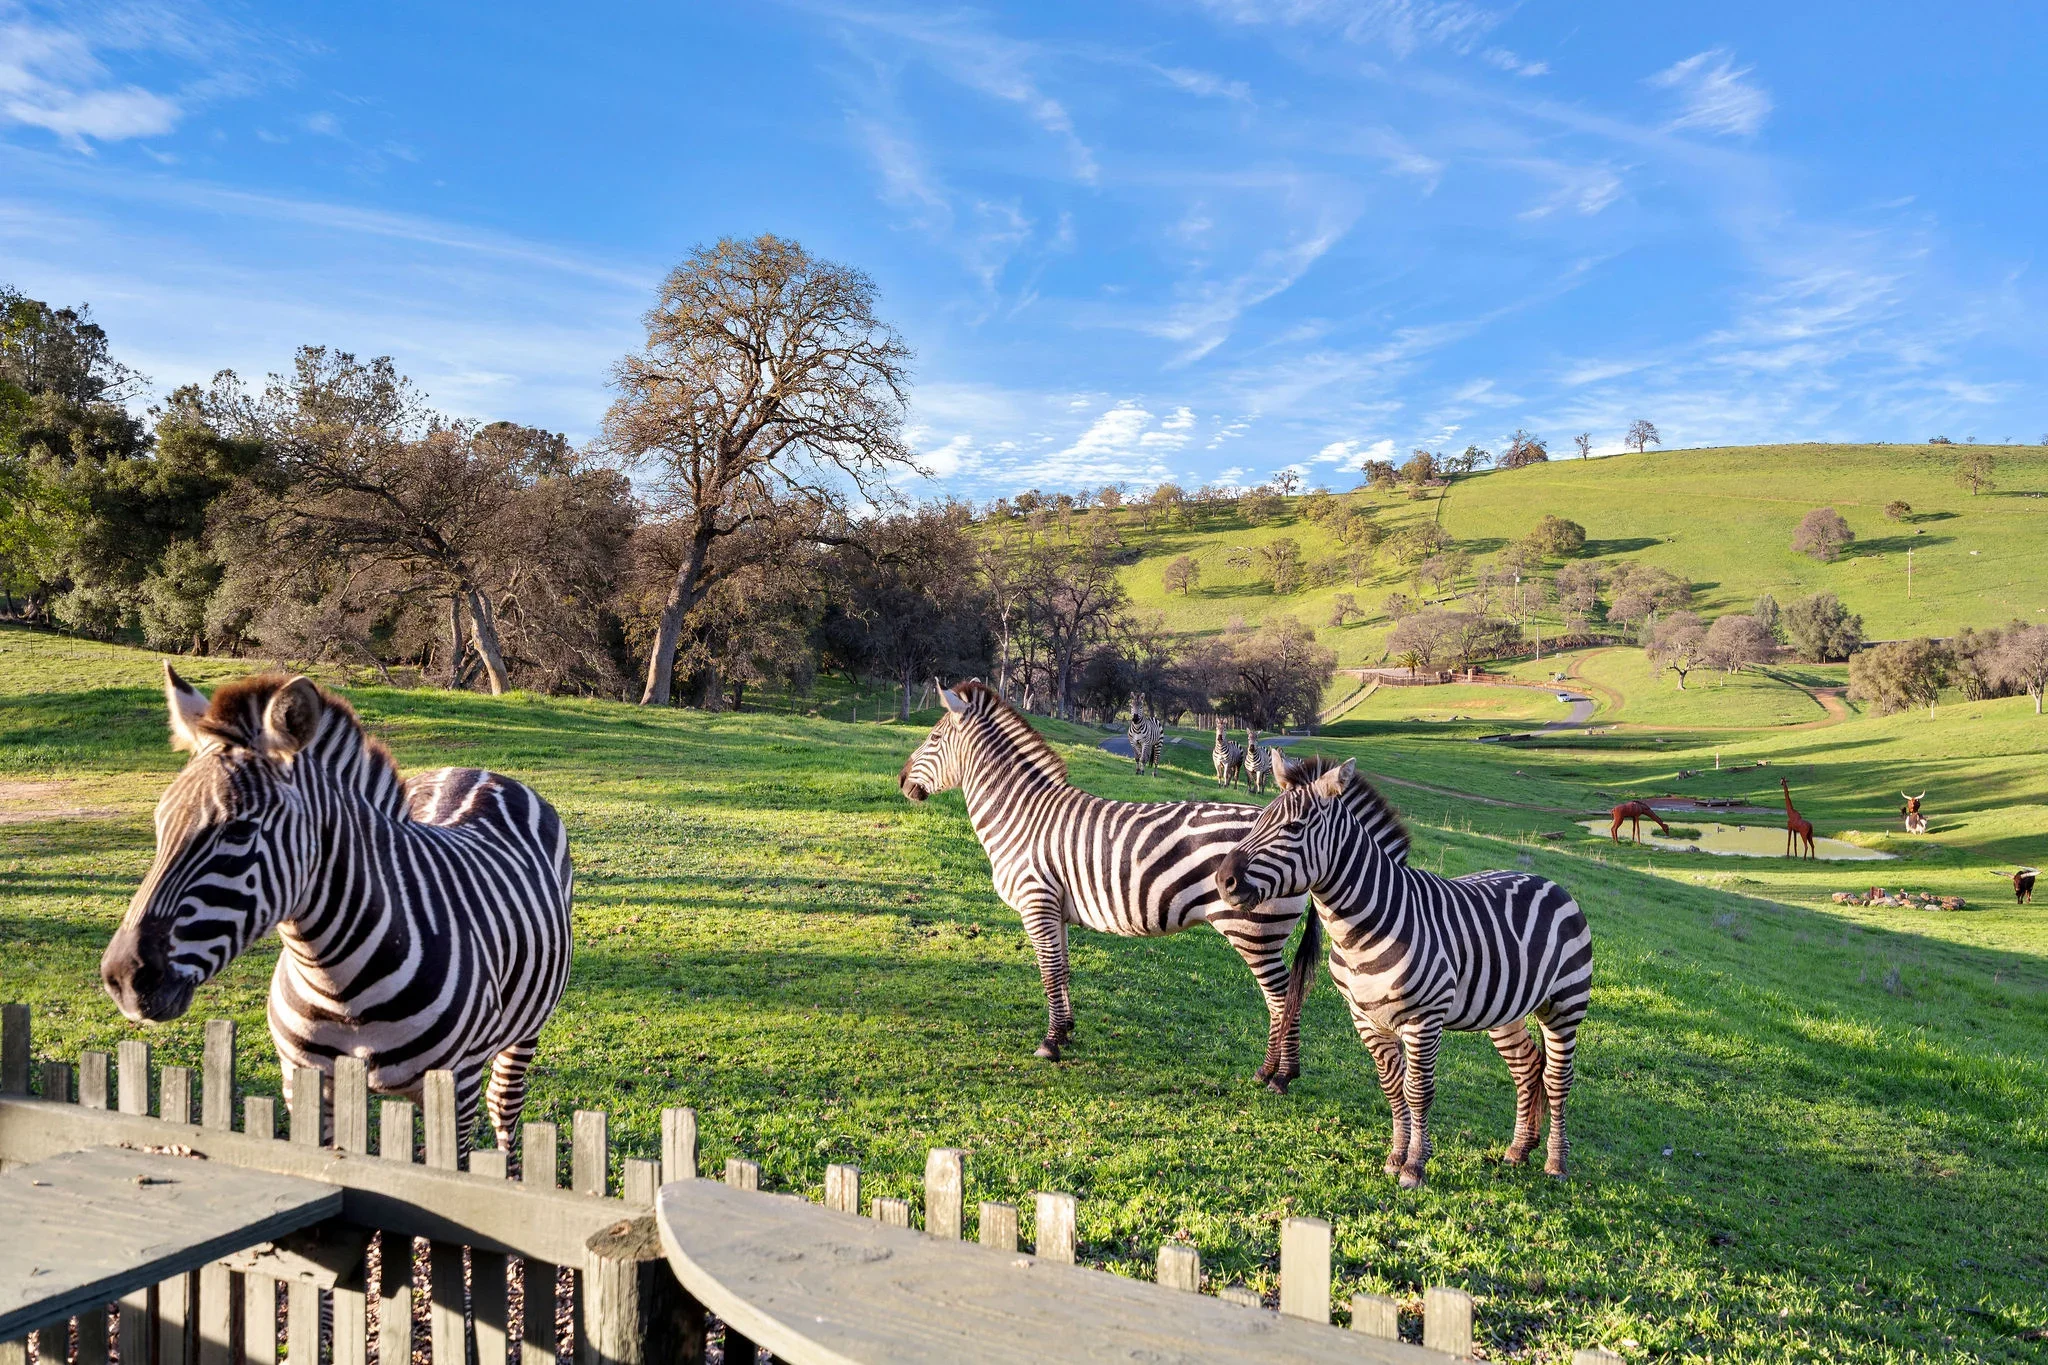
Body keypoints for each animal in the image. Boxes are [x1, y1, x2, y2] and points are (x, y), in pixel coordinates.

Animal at [100, 666, 574, 1152]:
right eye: (159, 823)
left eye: (239, 831)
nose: (123, 978)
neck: (338, 984)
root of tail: (479, 771)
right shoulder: (305, 1081)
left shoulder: (456, 1087)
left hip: (526, 1029)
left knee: (504, 1106)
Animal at [900, 681, 1319, 1088]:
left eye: (933, 737)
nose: (902, 781)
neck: (1021, 814)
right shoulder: (1055, 910)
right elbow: (1062, 969)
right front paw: (1066, 1031)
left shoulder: (1037, 903)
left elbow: (1049, 972)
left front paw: (1049, 1044)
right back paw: (1272, 1070)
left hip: (1254, 930)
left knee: (1283, 998)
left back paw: (1280, 1074)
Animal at [1216, 753, 1593, 1187]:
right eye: (1258, 820)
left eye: (1293, 828)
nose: (1222, 880)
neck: (1364, 928)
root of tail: (1551, 882)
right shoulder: (1365, 1018)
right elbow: (1393, 1088)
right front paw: (1396, 1157)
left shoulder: (1423, 1020)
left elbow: (1418, 1092)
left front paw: (1415, 1166)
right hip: (1504, 1009)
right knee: (1527, 1068)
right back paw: (1518, 1150)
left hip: (1564, 1006)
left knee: (1557, 1079)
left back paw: (1556, 1163)